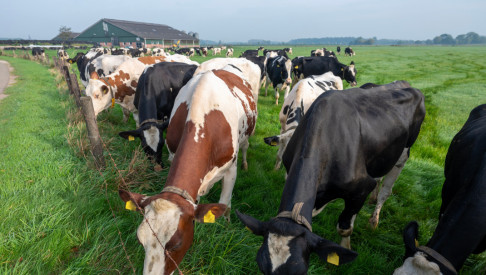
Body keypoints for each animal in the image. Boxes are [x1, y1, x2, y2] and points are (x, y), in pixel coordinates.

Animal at [118, 62, 262, 275]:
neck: (201, 119)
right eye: (140, 240)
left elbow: (225, 205)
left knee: (245, 146)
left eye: (176, 245)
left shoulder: (230, 170)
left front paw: (226, 228)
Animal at [236, 83, 426, 274]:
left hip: (403, 154)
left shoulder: (361, 188)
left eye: (301, 271)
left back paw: (374, 219)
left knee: (386, 191)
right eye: (261, 267)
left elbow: (344, 228)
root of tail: (404, 84)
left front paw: (346, 250)